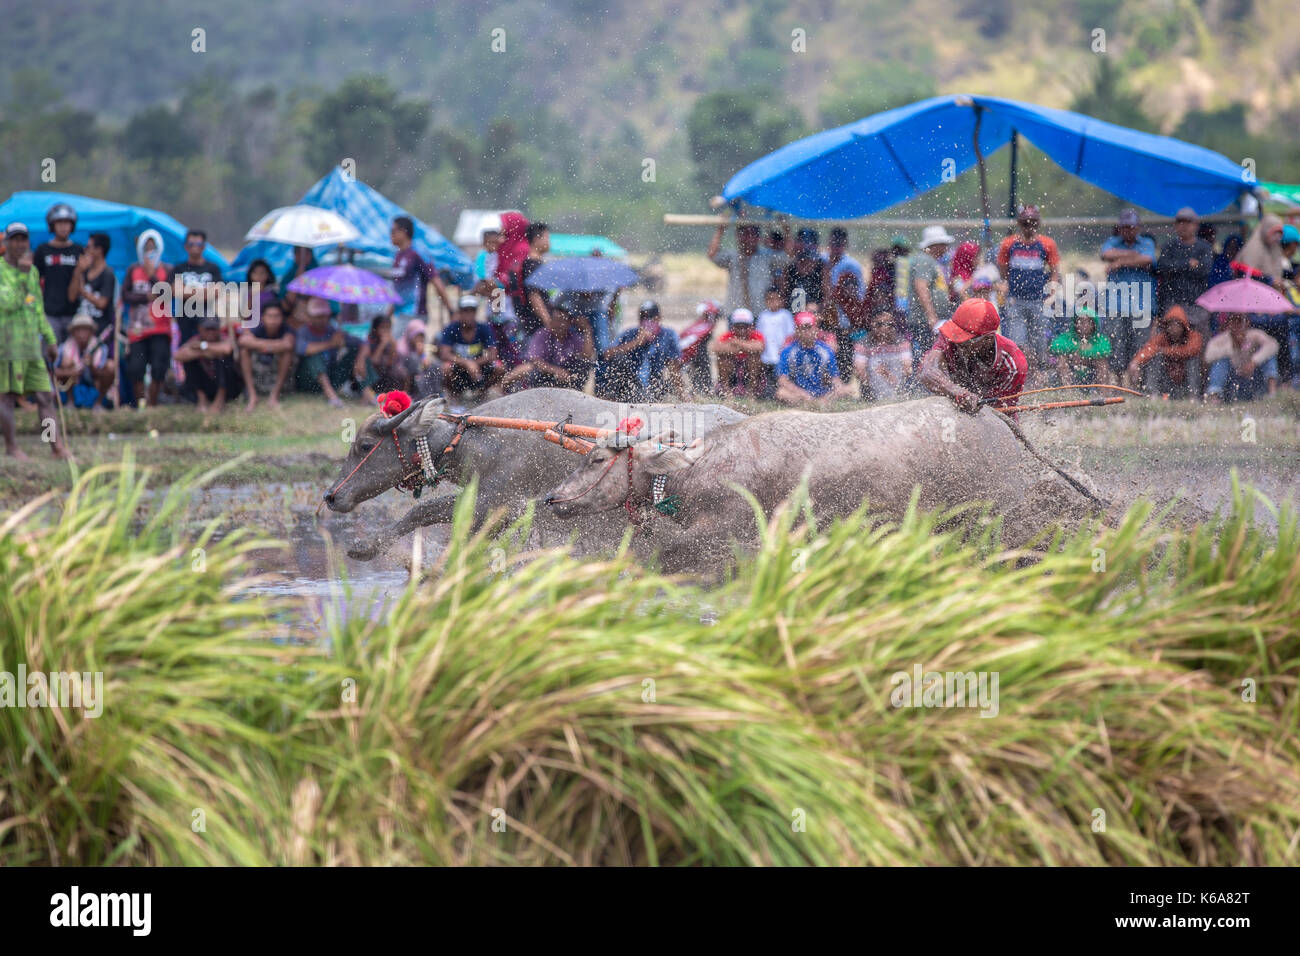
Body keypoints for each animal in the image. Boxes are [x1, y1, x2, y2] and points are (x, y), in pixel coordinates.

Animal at [322, 389, 747, 560]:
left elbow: (435, 520)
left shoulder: (495, 505)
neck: (486, 439)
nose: (331, 496)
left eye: (364, 445)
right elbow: (423, 512)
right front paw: (367, 548)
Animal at [543, 396, 1105, 571]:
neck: (704, 468)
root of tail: (995, 416)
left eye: (597, 457)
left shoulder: (728, 529)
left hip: (1002, 515)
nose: (552, 498)